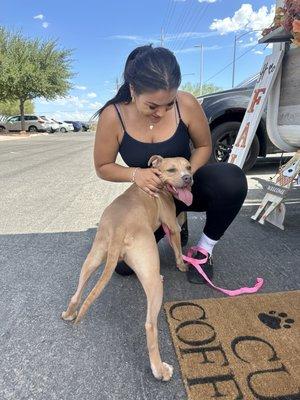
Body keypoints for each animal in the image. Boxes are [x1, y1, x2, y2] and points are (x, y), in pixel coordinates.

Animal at [61, 155, 192, 382]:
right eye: (172, 170)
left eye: (188, 167)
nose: (188, 178)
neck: (158, 184)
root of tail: (119, 227)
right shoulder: (172, 226)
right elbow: (177, 247)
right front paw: (183, 264)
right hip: (150, 273)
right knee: (150, 325)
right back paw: (160, 370)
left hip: (93, 257)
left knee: (77, 293)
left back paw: (69, 314)